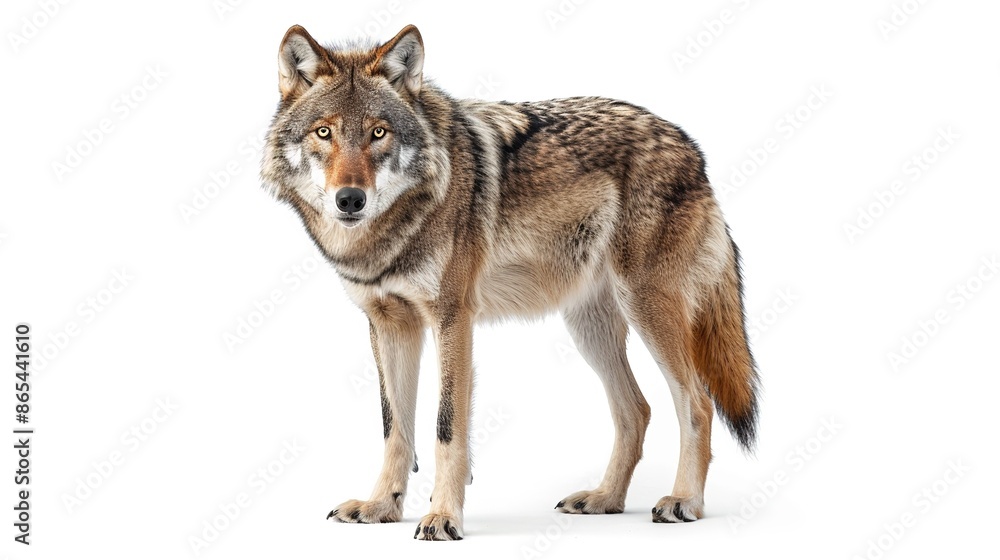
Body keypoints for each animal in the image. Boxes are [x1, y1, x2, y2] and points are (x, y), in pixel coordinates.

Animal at [261, 24, 760, 541]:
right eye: (325, 132)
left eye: (379, 132)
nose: (350, 199)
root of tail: (691, 147)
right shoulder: (388, 324)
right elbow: (394, 428)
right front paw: (382, 506)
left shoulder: (452, 319)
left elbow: (445, 428)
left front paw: (443, 517)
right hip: (590, 328)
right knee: (635, 410)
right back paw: (605, 499)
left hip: (645, 308)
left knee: (697, 404)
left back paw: (684, 500)